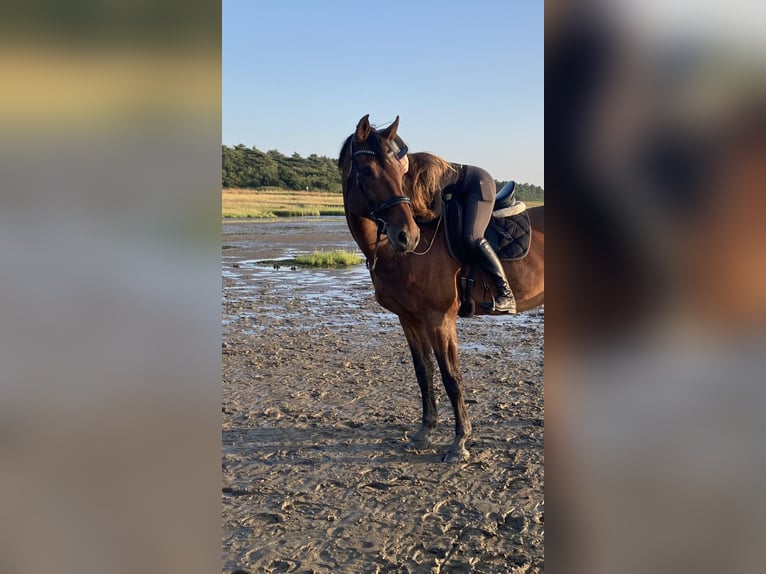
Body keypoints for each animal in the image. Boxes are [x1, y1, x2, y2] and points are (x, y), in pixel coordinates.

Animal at [340, 117, 544, 464]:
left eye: (401, 173)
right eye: (366, 171)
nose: (406, 236)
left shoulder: (439, 320)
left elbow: (452, 377)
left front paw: (460, 441)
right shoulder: (410, 319)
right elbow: (424, 373)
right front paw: (425, 431)